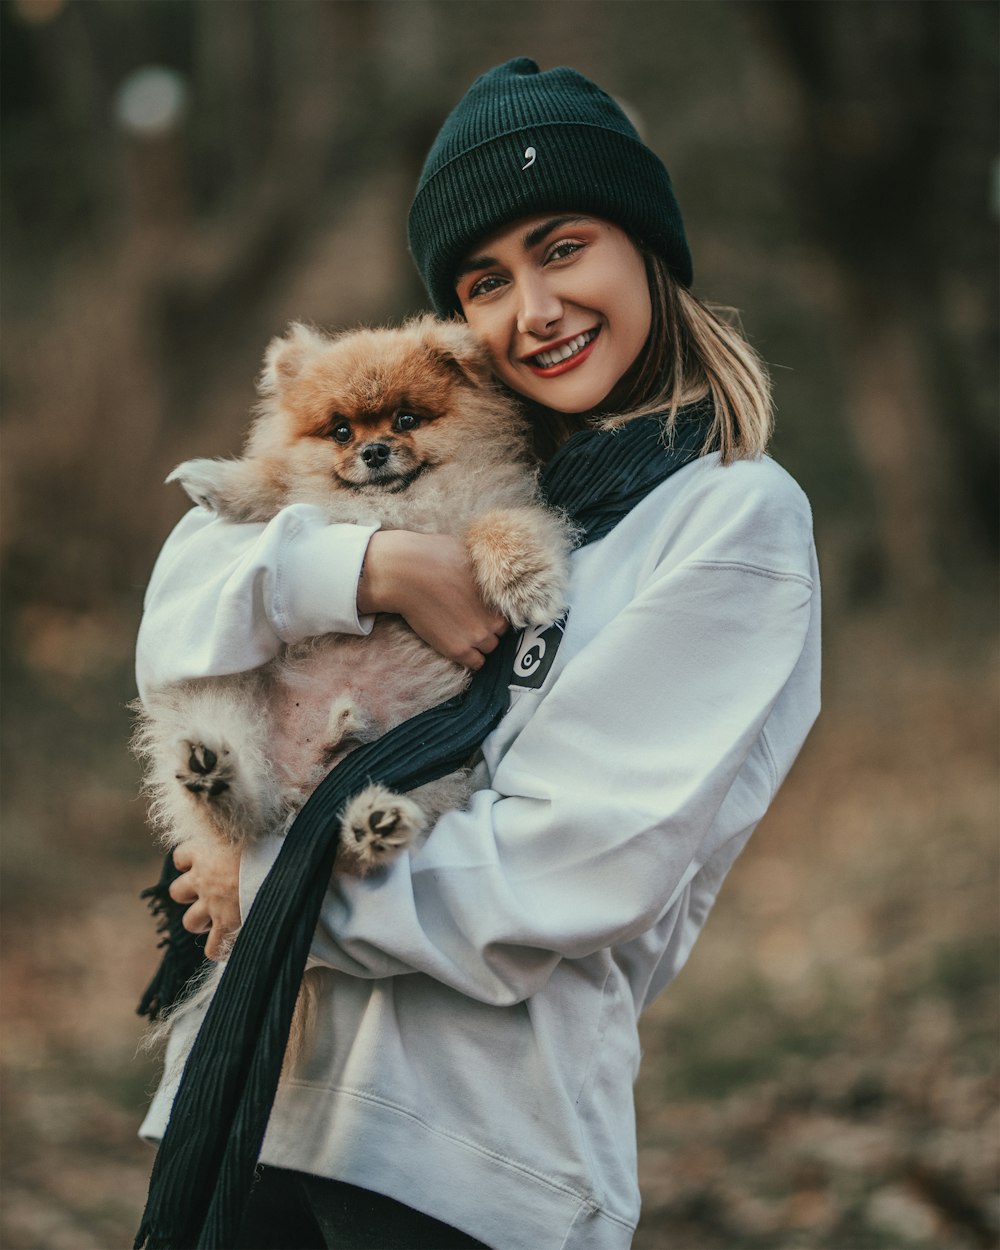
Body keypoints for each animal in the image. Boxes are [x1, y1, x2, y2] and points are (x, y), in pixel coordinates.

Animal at [132, 315, 570, 880]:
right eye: (341, 430)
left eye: (406, 419)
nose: (374, 451)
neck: (397, 504)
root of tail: (301, 786)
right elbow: (279, 481)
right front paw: (220, 480)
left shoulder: (492, 502)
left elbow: (502, 525)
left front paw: (528, 581)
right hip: (225, 702)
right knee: (240, 814)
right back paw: (214, 778)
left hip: (417, 766)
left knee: (339, 842)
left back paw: (375, 825)